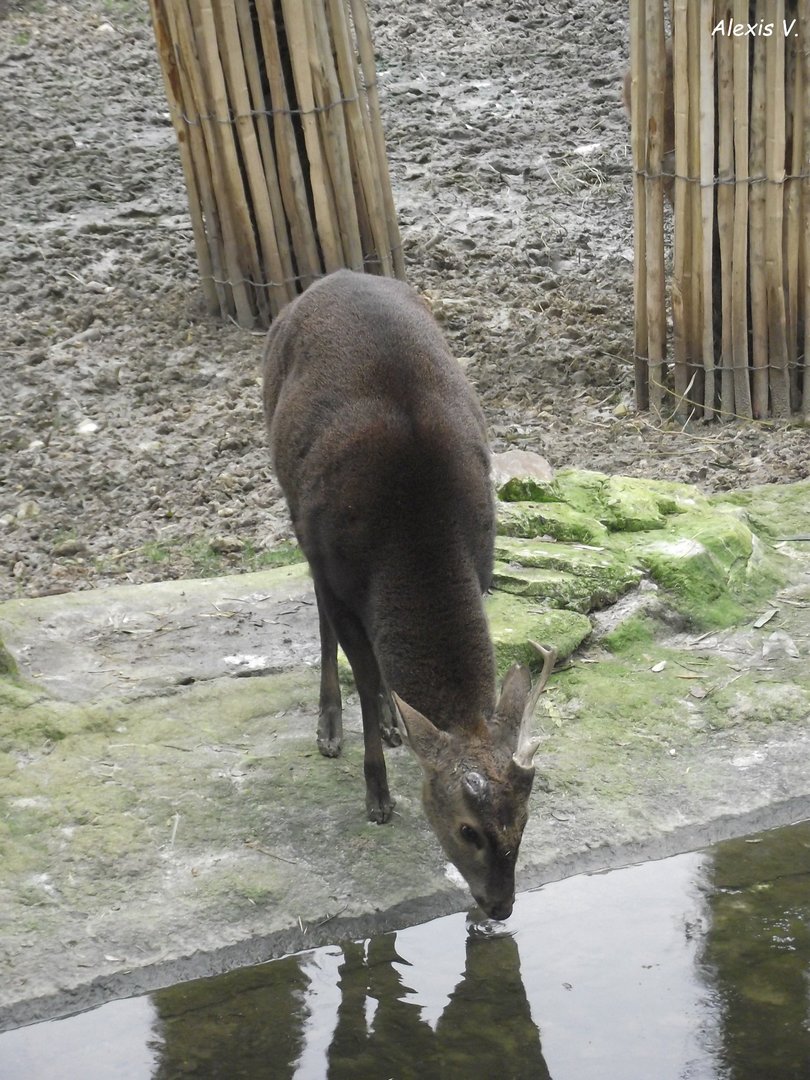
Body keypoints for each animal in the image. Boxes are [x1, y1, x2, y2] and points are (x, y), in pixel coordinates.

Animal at [262, 270, 557, 920]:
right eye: (468, 829)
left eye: (525, 820)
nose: (501, 906)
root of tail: (329, 278)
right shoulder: (338, 571)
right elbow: (362, 666)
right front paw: (377, 795)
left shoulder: (483, 560)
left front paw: (396, 726)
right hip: (294, 504)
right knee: (323, 622)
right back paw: (330, 726)